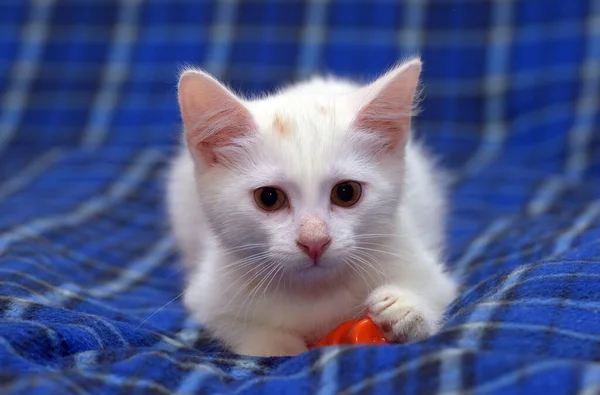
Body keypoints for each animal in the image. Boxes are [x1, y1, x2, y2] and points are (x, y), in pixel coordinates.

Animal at [166, 59, 458, 358]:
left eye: (346, 192)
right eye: (268, 198)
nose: (315, 241)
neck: (315, 291)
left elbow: (435, 290)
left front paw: (402, 309)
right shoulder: (209, 297)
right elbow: (237, 327)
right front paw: (279, 346)